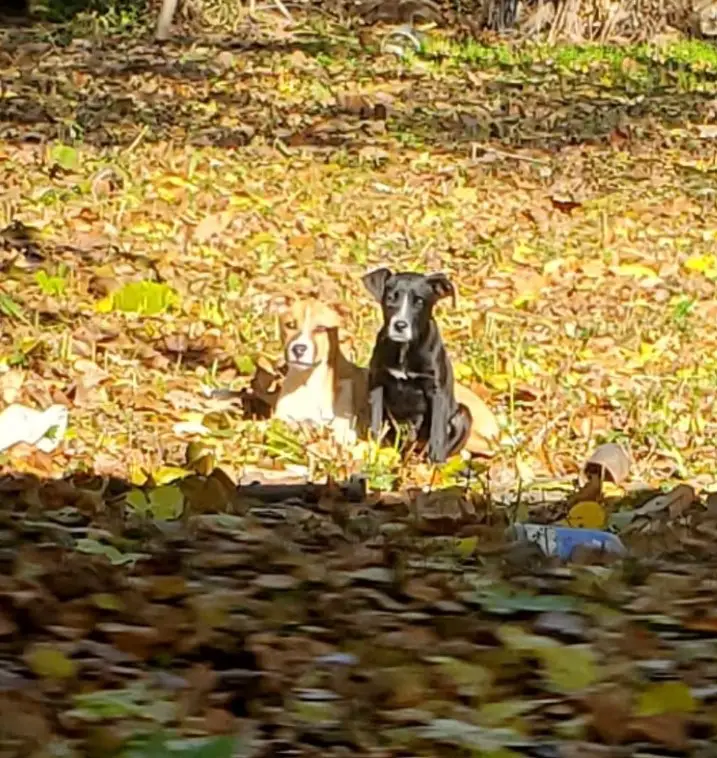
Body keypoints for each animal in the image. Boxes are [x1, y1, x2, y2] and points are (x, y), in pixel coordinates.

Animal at [364, 270, 470, 466]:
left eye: (420, 302)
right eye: (390, 298)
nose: (400, 325)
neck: (405, 349)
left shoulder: (438, 390)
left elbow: (437, 428)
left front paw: (436, 459)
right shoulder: (377, 382)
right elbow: (375, 418)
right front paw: (373, 447)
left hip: (463, 416)